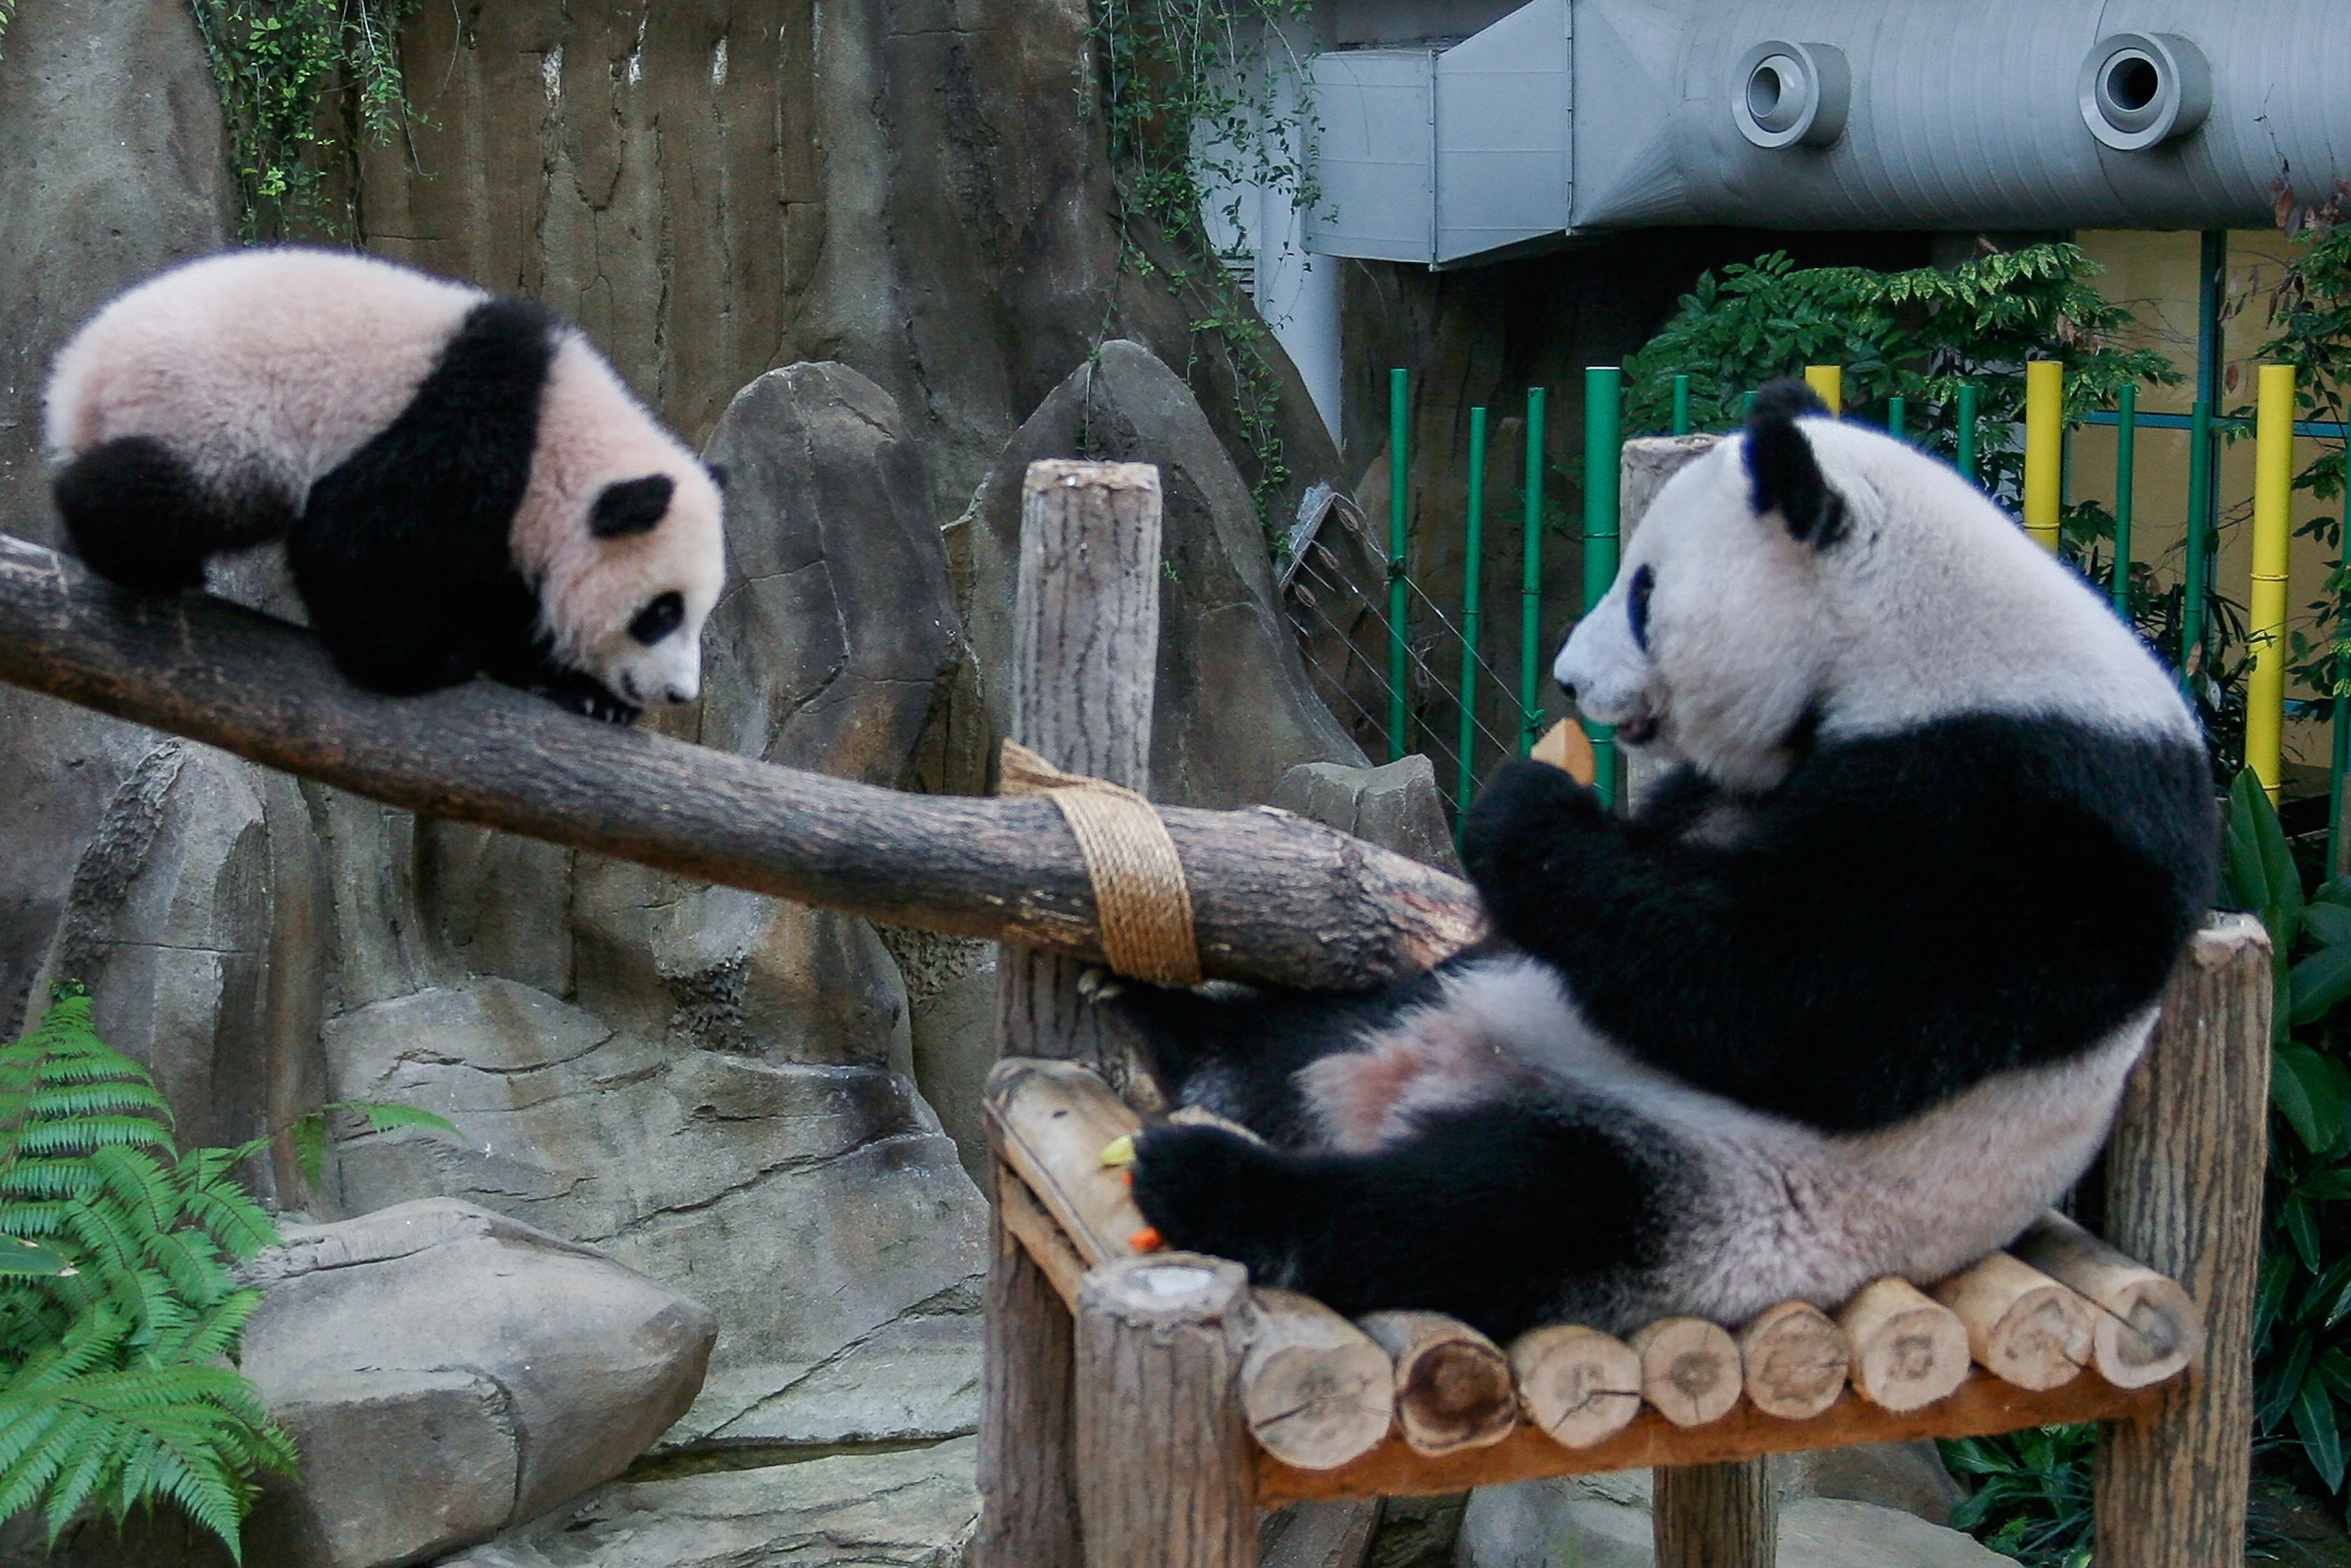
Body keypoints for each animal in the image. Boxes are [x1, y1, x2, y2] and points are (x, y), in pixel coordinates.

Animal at [42, 247, 726, 723]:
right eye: (662, 612)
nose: (679, 692)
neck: (557, 432)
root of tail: (79, 374)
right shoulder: (455, 430)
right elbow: (363, 552)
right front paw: (426, 663)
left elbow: (499, 595)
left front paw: (581, 690)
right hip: (214, 415)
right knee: (168, 492)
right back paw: (139, 557)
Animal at [1115, 381, 2217, 1343]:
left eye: (1644, 593)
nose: (1567, 677)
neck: (1934, 644)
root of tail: (1414, 1085)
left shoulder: (2032, 819)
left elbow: (1791, 997)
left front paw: (1525, 807)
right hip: (1473, 999)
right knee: (1324, 1033)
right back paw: (1177, 1029)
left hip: (1718, 1189)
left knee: (1494, 1210)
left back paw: (1216, 1187)